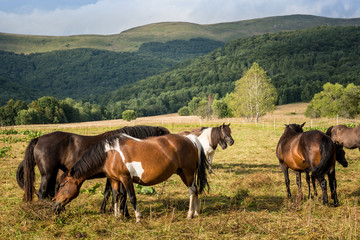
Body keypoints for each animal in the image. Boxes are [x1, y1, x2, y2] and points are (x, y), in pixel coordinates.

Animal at [53, 132, 211, 222]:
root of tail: (190, 139)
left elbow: (131, 197)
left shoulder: (126, 179)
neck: (109, 154)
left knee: (191, 191)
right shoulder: (114, 180)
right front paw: (117, 217)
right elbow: (116, 197)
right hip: (183, 173)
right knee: (195, 190)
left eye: (62, 185)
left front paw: (138, 218)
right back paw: (196, 213)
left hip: (187, 172)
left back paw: (190, 215)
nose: (54, 203)